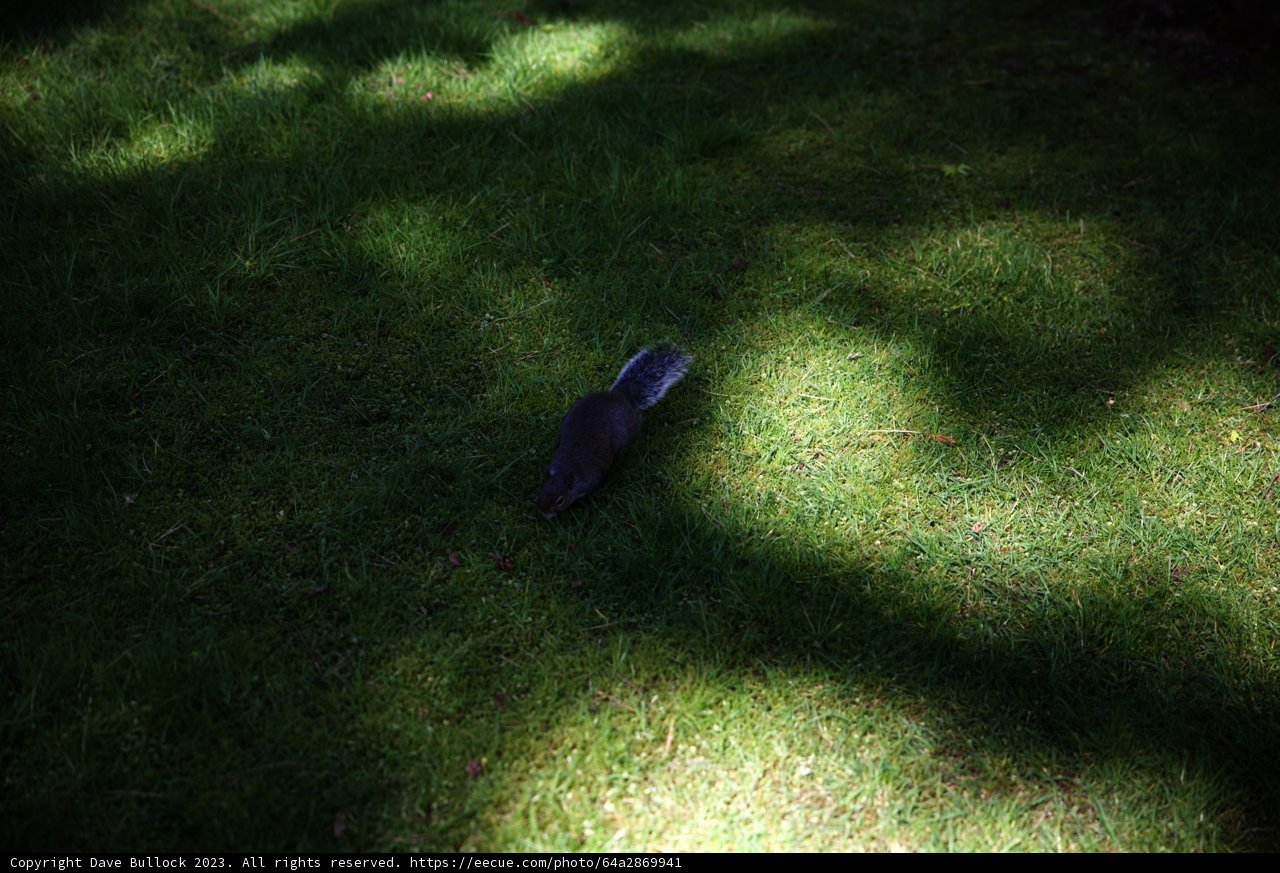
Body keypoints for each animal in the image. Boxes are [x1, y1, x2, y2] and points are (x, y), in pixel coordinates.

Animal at [537, 345, 692, 516]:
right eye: (541, 491)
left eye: (560, 500)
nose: (543, 512)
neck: (565, 467)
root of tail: (621, 396)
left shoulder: (592, 478)